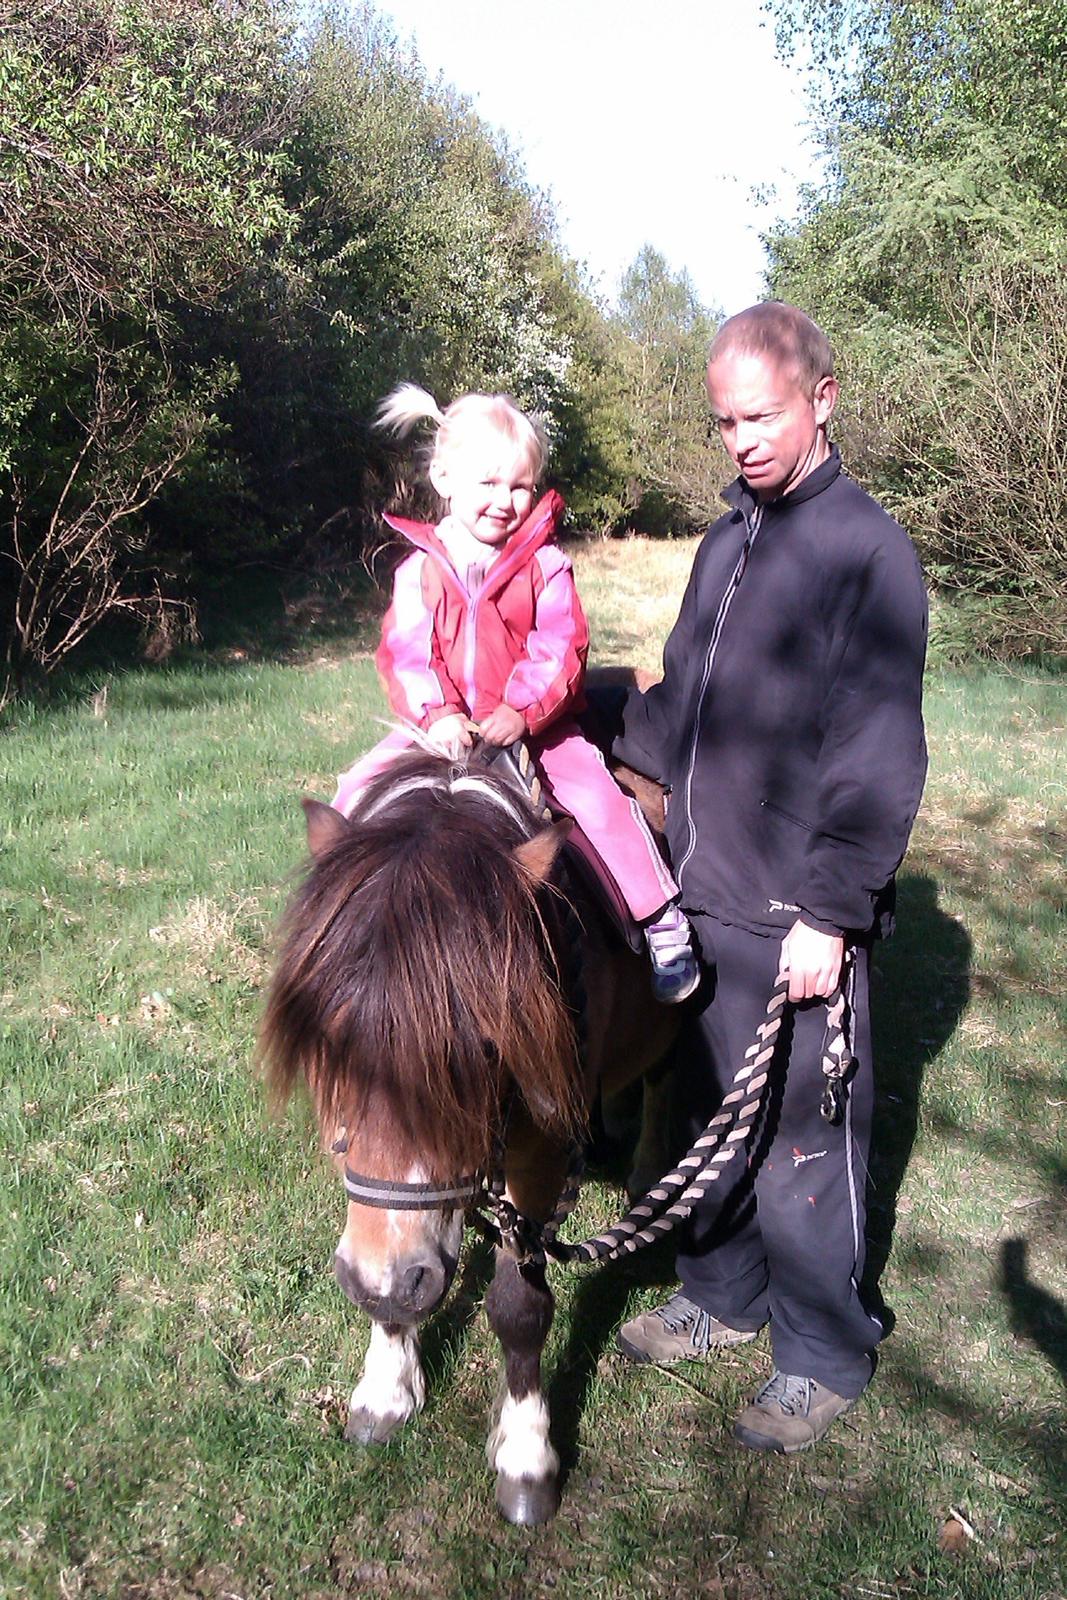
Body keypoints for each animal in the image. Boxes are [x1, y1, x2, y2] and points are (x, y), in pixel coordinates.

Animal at [260, 746, 679, 1525]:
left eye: (485, 1051)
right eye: (329, 1040)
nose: (387, 1280)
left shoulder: (537, 1159)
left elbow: (519, 1308)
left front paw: (526, 1456)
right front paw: (385, 1386)